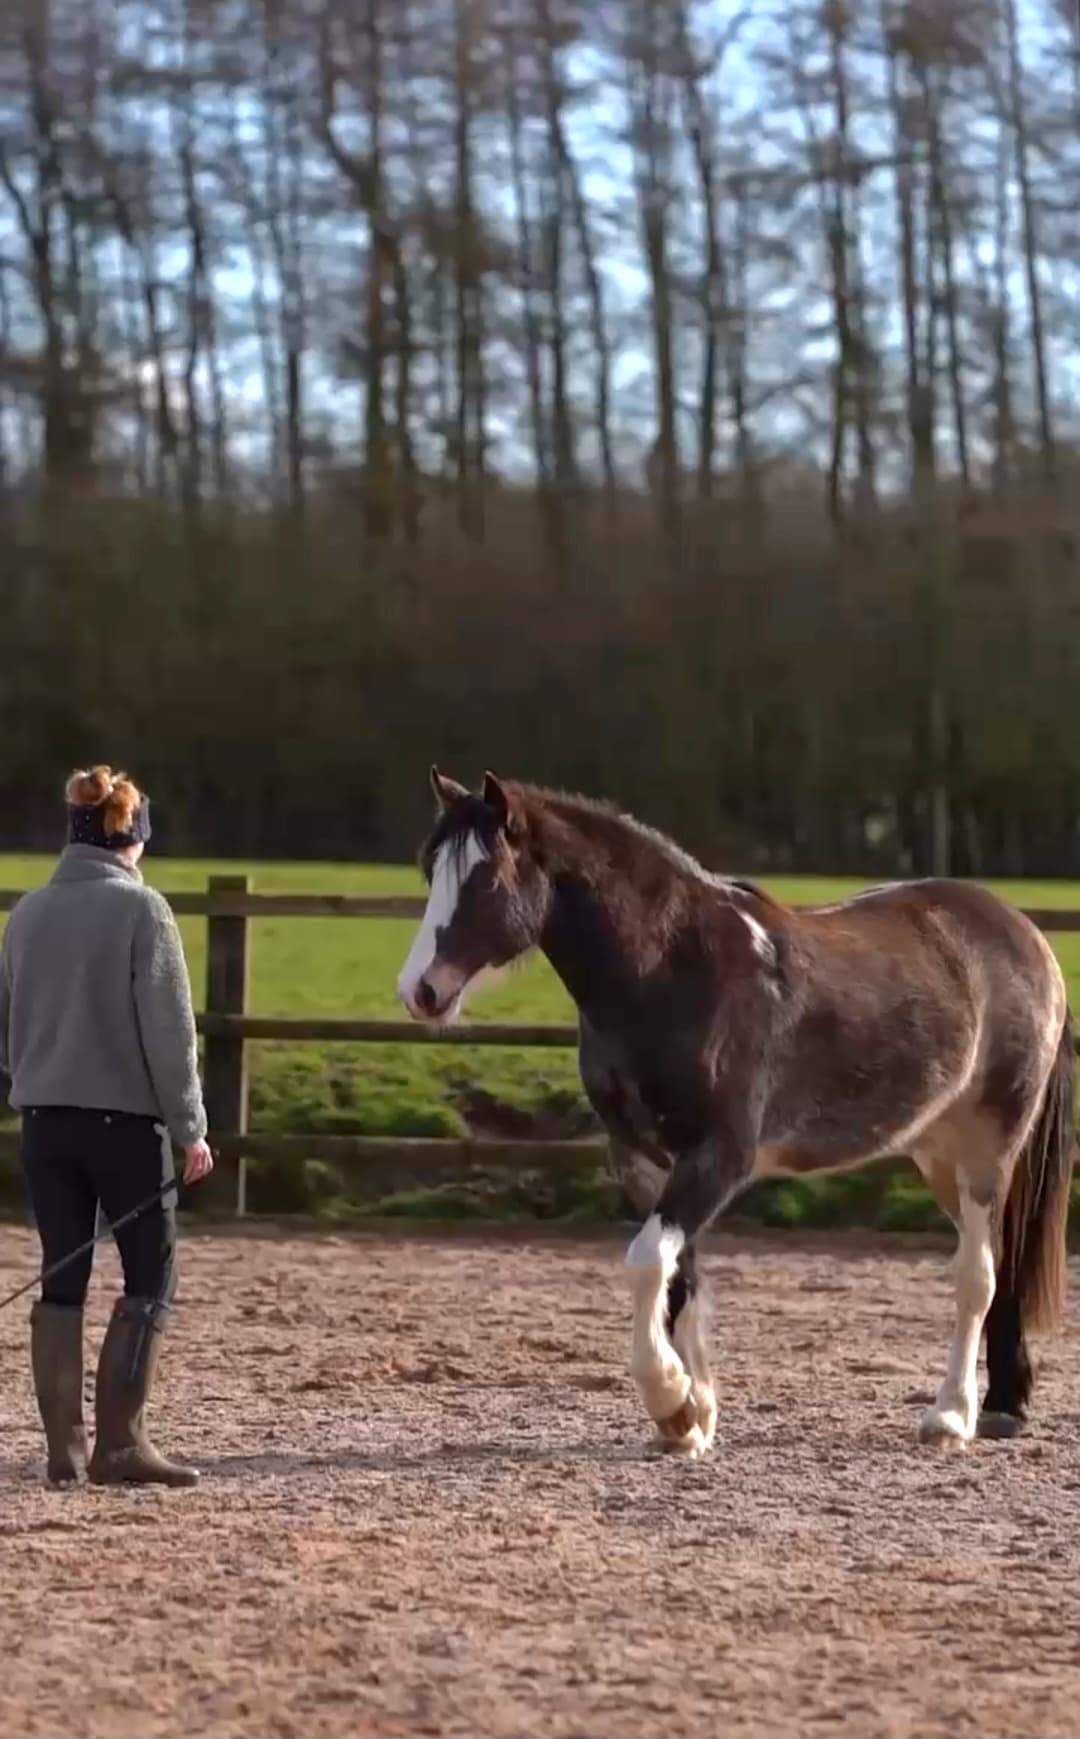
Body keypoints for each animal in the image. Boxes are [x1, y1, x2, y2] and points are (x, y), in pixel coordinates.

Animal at [397, 767, 1075, 1459]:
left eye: (486, 878)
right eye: (430, 872)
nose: (419, 991)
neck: (670, 971)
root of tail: (1025, 936)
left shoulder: (719, 1158)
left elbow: (648, 1262)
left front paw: (669, 1399)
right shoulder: (644, 1159)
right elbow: (678, 1277)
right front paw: (693, 1418)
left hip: (987, 1147)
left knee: (978, 1275)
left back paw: (953, 1416)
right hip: (936, 1152)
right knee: (997, 1263)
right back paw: (1002, 1405)